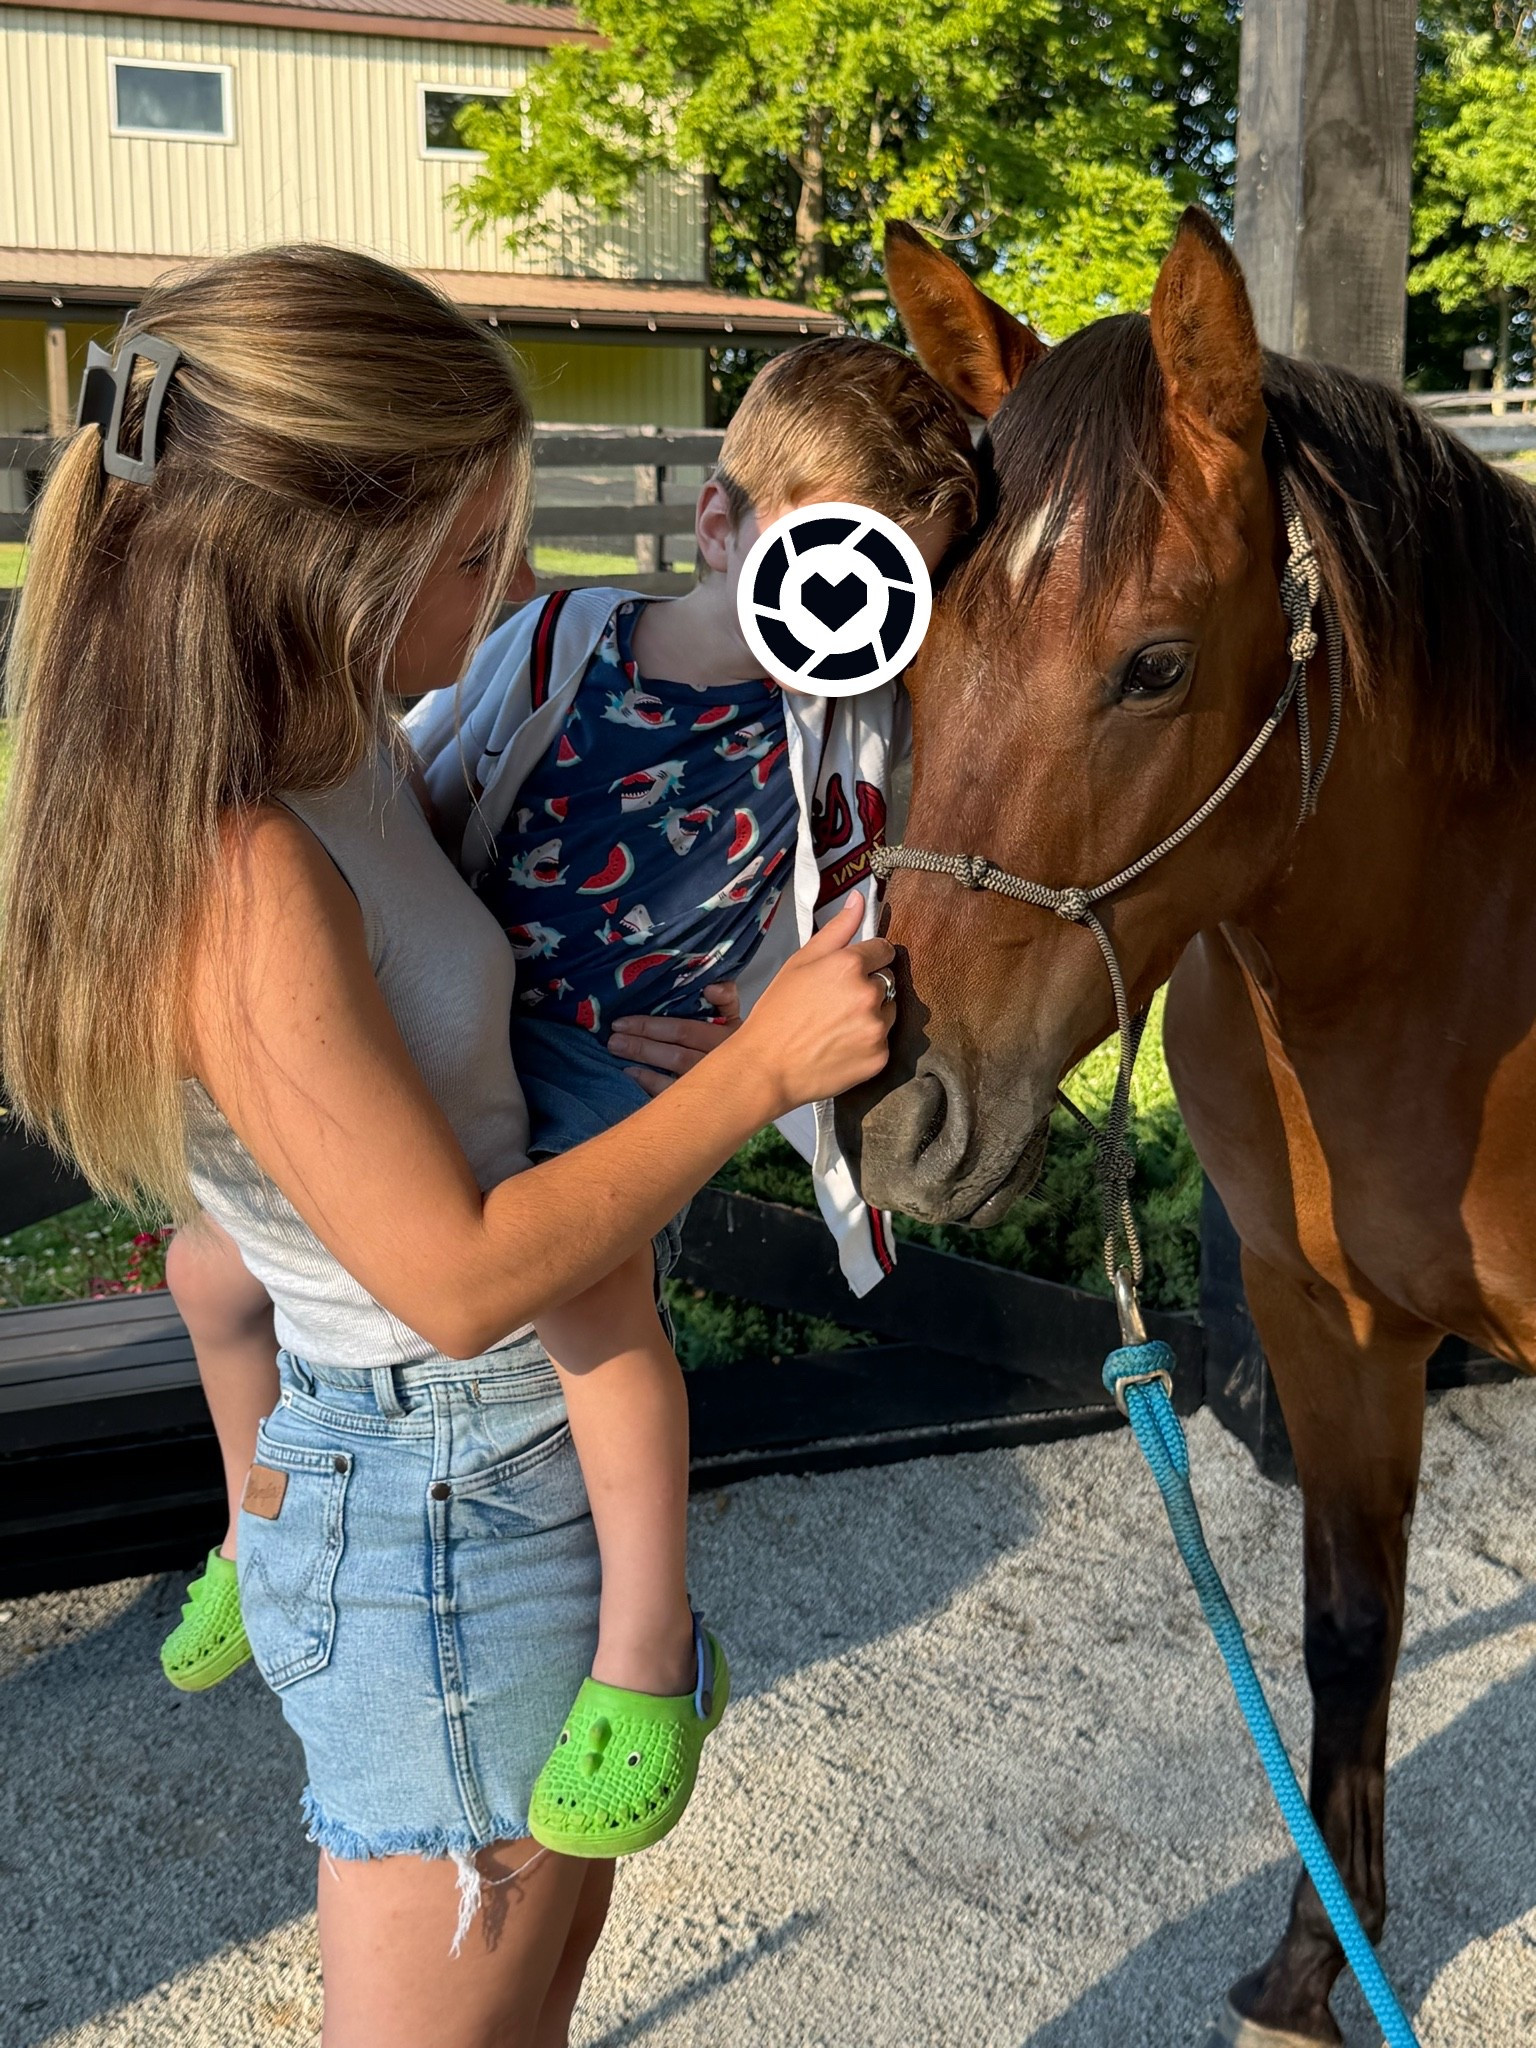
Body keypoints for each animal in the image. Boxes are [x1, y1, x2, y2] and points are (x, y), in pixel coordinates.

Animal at [836, 207, 1536, 2046]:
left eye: (1152, 665)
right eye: (914, 649)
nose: (896, 1113)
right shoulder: (1323, 1320)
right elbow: (1348, 1626)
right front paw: (1316, 1962)